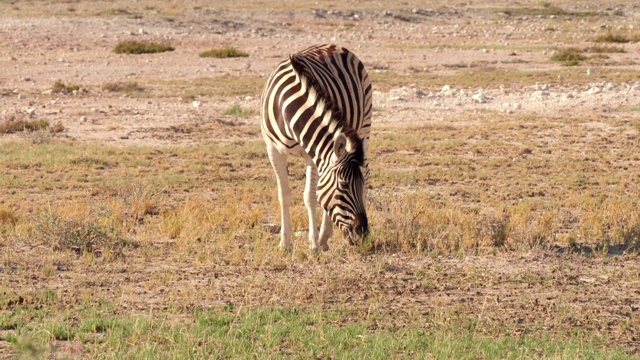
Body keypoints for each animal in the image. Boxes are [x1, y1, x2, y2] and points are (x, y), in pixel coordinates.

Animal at [260, 44, 372, 250]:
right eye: (344, 185)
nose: (362, 233)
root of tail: (336, 45)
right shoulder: (273, 150)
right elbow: (284, 195)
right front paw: (285, 243)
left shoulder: (311, 154)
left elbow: (310, 197)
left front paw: (313, 243)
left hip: (365, 126)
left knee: (367, 174)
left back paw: (324, 236)